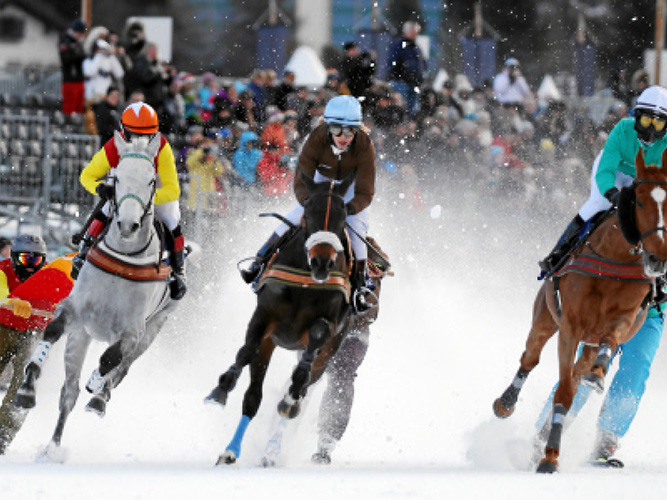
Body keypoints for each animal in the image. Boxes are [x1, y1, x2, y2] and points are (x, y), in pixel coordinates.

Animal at [15, 132, 177, 450]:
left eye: (152, 180)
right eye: (117, 176)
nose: (128, 225)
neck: (124, 258)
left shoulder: (133, 330)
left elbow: (110, 360)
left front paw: (98, 385)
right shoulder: (74, 309)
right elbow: (52, 330)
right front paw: (26, 390)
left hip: (154, 327)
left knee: (122, 368)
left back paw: (99, 395)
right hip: (82, 334)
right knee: (69, 392)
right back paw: (53, 447)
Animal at [207, 172, 354, 464]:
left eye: (343, 215)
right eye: (308, 209)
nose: (322, 263)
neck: (305, 282)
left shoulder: (326, 325)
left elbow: (303, 372)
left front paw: (290, 399)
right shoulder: (265, 318)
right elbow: (246, 353)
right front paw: (221, 388)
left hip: (332, 349)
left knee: (302, 389)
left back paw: (273, 447)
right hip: (271, 344)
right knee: (254, 396)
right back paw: (231, 451)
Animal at [490, 149, 667, 472]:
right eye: (638, 201)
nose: (657, 257)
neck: (614, 259)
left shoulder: (623, 318)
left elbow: (609, 347)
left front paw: (598, 373)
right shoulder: (570, 326)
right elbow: (563, 391)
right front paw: (549, 457)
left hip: (592, 341)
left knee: (588, 370)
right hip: (545, 317)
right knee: (530, 357)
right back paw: (505, 403)